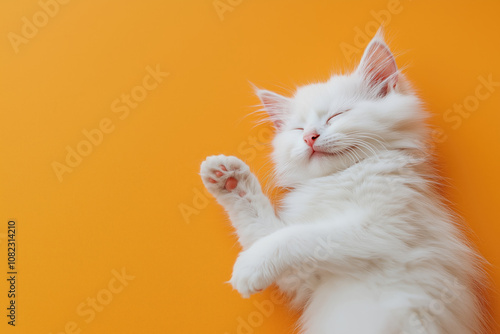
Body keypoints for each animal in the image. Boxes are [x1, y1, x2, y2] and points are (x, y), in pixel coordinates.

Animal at [200, 28, 488, 334]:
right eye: (298, 129)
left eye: (336, 116)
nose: (309, 137)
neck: (339, 177)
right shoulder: (305, 279)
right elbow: (262, 230)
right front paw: (229, 179)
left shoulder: (383, 227)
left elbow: (296, 237)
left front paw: (248, 267)